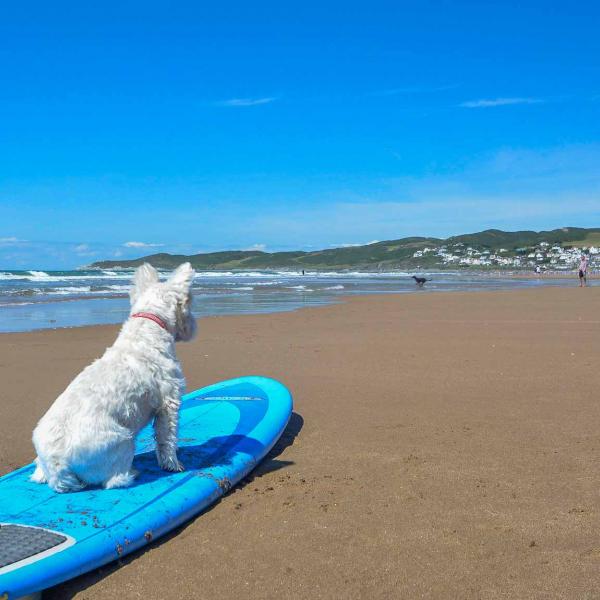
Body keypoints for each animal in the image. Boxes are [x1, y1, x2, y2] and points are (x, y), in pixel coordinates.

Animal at [31, 262, 197, 492]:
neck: (148, 327)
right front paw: (173, 464)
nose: (194, 327)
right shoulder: (169, 404)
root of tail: (58, 467)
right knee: (114, 480)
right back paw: (132, 472)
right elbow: (167, 438)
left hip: (44, 461)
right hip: (123, 442)